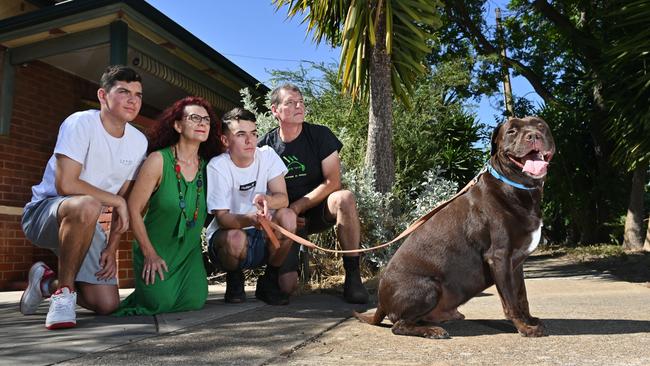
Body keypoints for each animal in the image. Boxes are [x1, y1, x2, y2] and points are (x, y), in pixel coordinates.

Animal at [354, 116, 552, 338]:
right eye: (511, 131)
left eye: (541, 125)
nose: (533, 135)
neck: (516, 188)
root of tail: (381, 302)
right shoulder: (500, 257)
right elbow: (510, 301)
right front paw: (524, 328)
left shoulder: (516, 263)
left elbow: (521, 296)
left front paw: (530, 320)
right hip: (429, 287)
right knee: (399, 326)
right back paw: (432, 330)